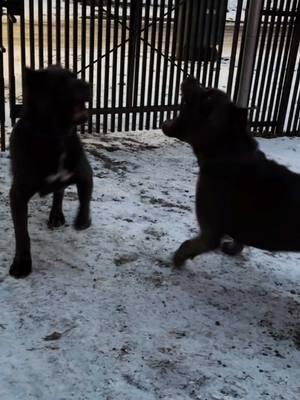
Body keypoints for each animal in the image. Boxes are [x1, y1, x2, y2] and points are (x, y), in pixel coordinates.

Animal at [9, 65, 92, 278]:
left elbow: (85, 199)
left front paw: (82, 221)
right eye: (60, 82)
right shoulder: (18, 195)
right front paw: (22, 264)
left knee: (59, 193)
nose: (88, 84)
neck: (56, 137)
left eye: (75, 76)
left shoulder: (85, 174)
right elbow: (22, 235)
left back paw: (56, 215)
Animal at [163, 77, 300, 268]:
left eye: (207, 95)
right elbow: (240, 238)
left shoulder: (209, 231)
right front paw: (233, 249)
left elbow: (187, 244)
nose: (192, 77)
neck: (226, 149)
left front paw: (178, 260)